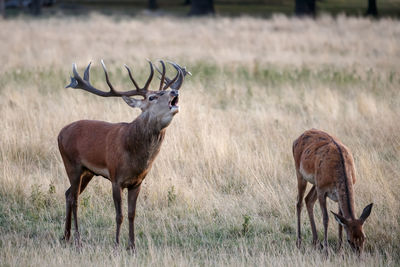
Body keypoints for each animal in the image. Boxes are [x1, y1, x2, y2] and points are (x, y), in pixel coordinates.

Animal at [57, 59, 191, 251]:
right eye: (152, 97)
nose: (175, 91)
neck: (134, 156)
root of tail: (60, 133)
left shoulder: (137, 182)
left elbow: (131, 214)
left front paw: (132, 246)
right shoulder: (115, 178)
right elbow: (118, 215)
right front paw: (116, 245)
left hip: (88, 172)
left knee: (68, 194)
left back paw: (66, 236)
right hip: (71, 164)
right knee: (75, 199)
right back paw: (77, 239)